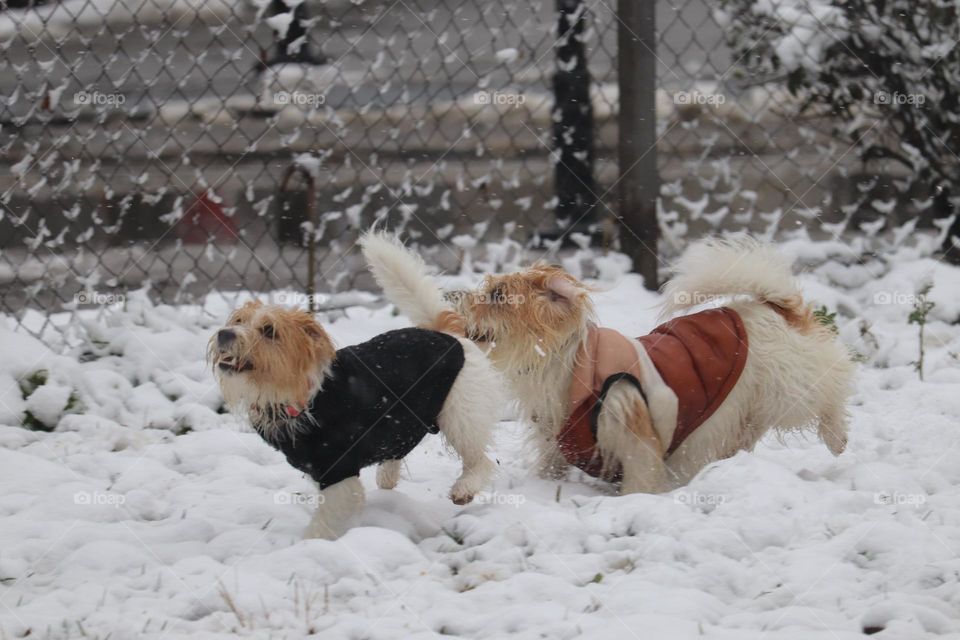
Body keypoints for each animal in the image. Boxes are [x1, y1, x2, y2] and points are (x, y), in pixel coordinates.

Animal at [368, 238, 856, 492]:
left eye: (498, 296)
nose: (456, 299)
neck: (566, 369)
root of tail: (774, 306)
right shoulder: (554, 442)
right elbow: (549, 469)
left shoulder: (635, 435)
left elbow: (639, 478)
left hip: (792, 384)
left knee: (831, 390)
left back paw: (837, 437)